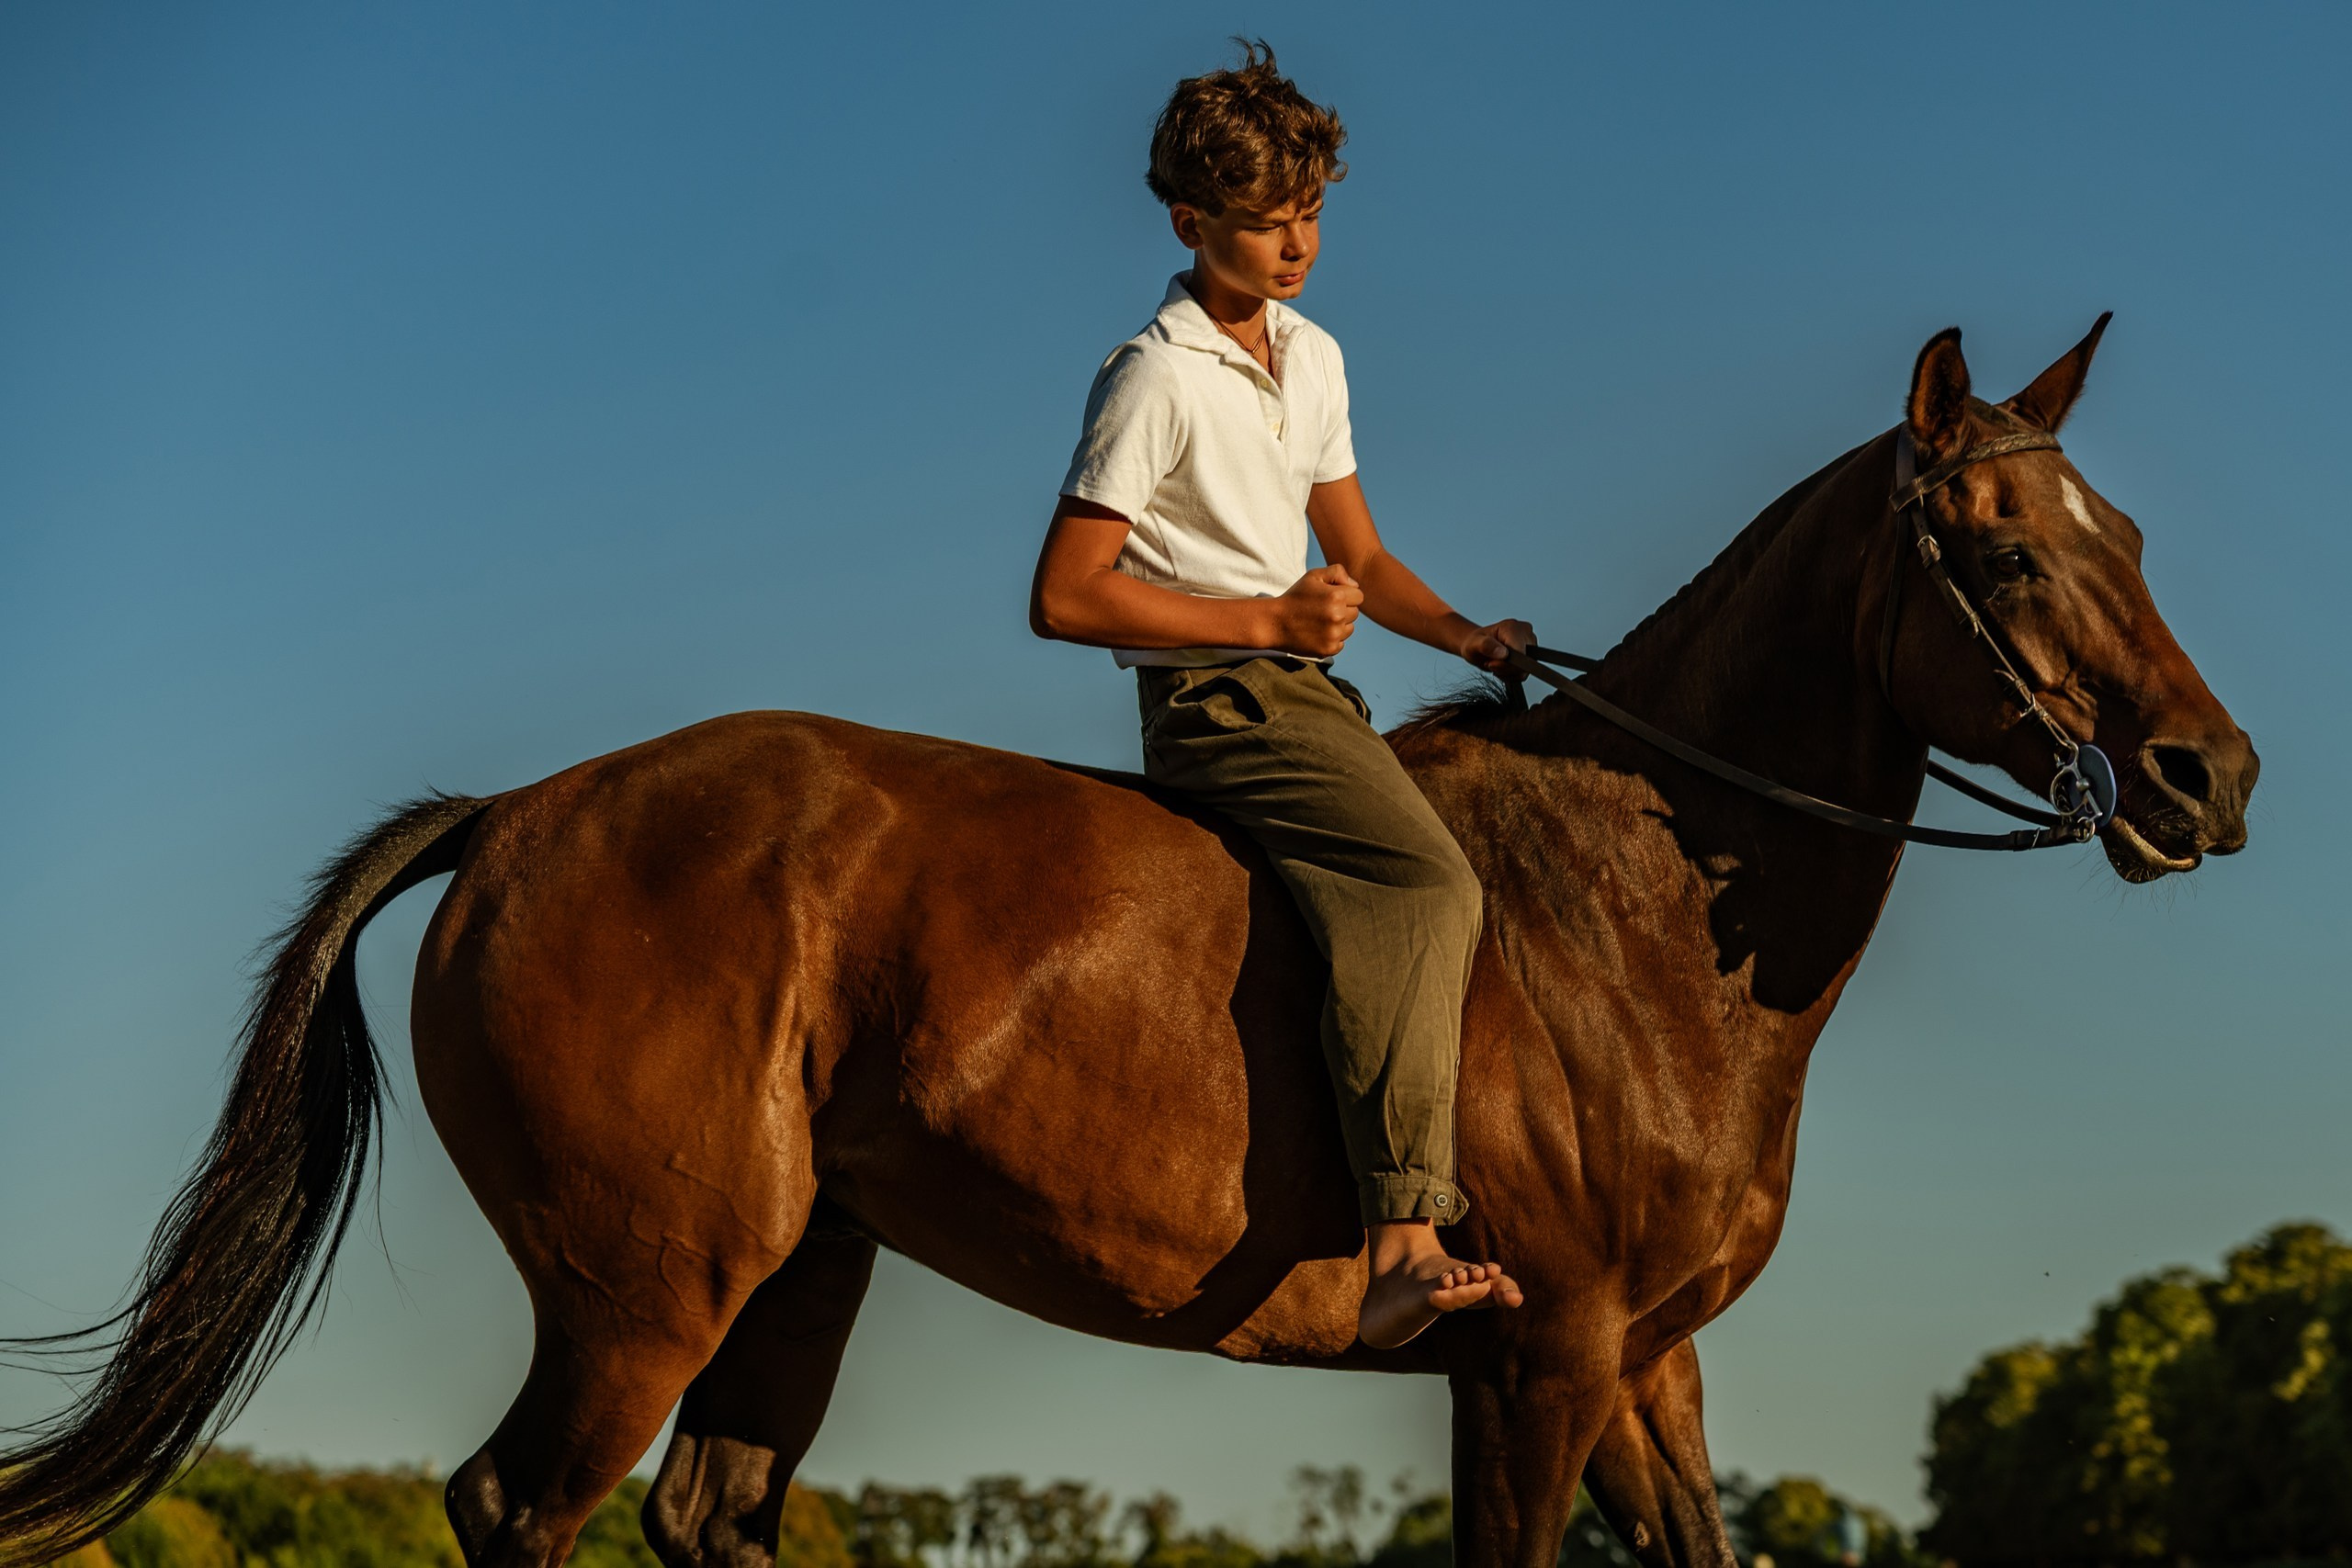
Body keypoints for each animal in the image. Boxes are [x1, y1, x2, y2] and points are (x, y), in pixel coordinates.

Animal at [0, 319, 2257, 1568]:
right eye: (1995, 551)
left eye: (2132, 537)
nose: (2206, 775)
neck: (1635, 914)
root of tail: (523, 810)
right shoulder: (1535, 1355)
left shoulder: (1648, 1360)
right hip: (639, 1286)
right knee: (519, 1506)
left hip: (796, 1270)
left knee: (705, 1514)